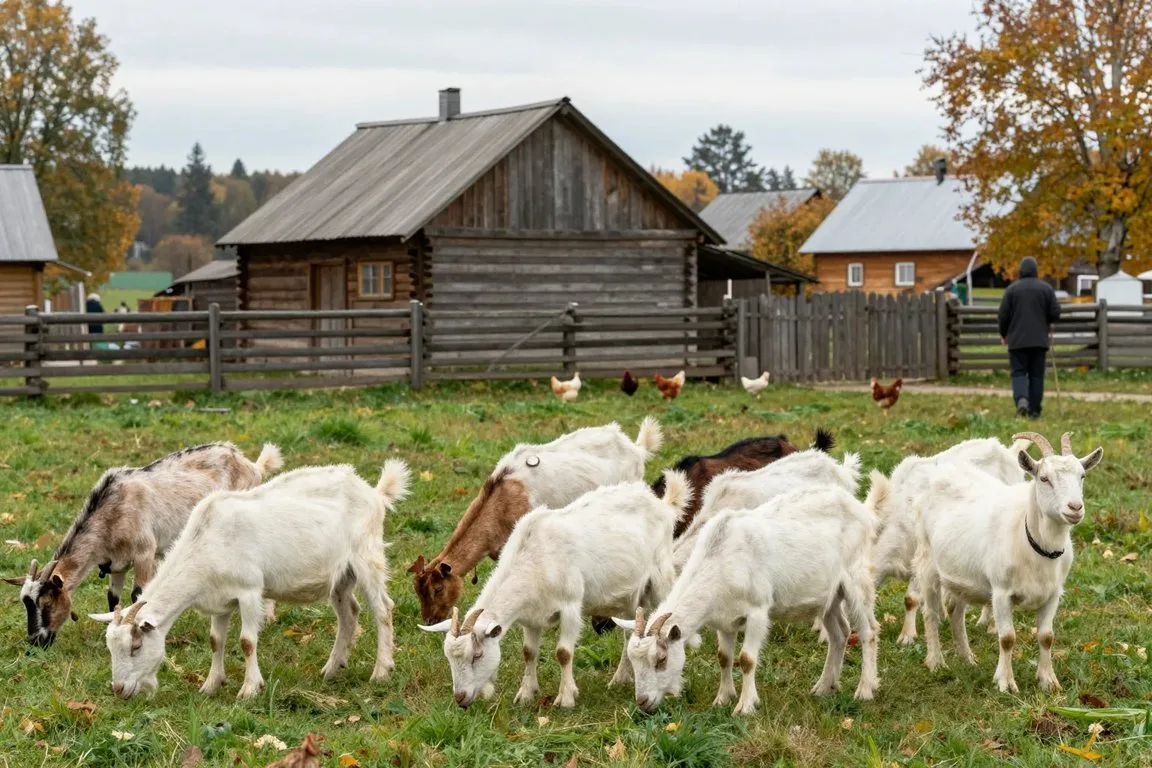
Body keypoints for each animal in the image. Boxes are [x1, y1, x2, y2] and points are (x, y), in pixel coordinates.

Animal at [5, 442, 282, 648]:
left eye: (47, 603)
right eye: (25, 603)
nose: (35, 642)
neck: (112, 511)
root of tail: (251, 465)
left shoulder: (144, 552)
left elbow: (138, 596)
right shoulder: (116, 563)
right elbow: (114, 598)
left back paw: (267, 617)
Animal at [89, 461, 410, 700]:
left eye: (136, 647)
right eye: (110, 648)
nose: (118, 689)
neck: (207, 543)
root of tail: (374, 492)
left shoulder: (249, 591)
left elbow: (246, 642)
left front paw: (250, 689)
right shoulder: (219, 601)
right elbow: (215, 640)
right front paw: (210, 685)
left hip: (367, 555)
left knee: (382, 609)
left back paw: (381, 671)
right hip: (342, 575)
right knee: (349, 613)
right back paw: (331, 668)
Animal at [419, 471, 689, 709]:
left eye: (476, 655)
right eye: (449, 659)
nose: (460, 698)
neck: (534, 558)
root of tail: (662, 504)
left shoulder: (570, 607)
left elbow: (563, 653)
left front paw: (566, 698)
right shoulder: (530, 617)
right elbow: (528, 652)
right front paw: (526, 694)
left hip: (661, 578)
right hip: (628, 597)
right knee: (630, 632)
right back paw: (620, 679)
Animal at [613, 484, 881, 716]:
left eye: (661, 659)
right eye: (633, 662)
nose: (643, 702)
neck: (721, 561)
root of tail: (858, 506)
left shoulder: (757, 612)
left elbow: (747, 659)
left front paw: (745, 706)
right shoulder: (723, 620)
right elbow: (724, 657)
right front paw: (723, 698)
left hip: (856, 575)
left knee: (869, 630)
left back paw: (865, 689)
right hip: (829, 595)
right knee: (840, 633)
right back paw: (824, 687)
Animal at [913, 431, 1103, 692]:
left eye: (1082, 476)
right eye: (1044, 478)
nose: (1075, 508)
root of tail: (944, 471)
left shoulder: (1053, 594)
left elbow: (1047, 636)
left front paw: (1048, 680)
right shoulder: (1001, 592)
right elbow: (1007, 638)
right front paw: (1005, 682)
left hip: (961, 574)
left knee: (955, 610)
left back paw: (967, 658)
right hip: (927, 561)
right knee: (931, 613)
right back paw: (936, 662)